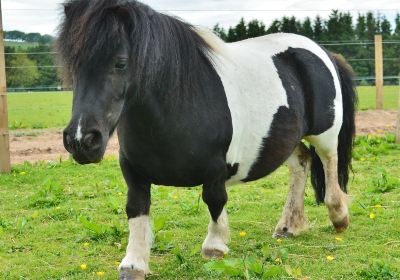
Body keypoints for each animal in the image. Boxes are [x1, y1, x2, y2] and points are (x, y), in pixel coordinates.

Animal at [57, 1, 356, 278]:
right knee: (302, 163)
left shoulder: (216, 168)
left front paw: (215, 246)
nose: (81, 140)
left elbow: (214, 200)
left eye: (120, 63)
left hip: (325, 134)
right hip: (284, 140)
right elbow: (136, 208)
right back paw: (289, 226)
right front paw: (134, 263)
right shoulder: (133, 171)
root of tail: (322, 51)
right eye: (73, 66)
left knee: (329, 162)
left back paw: (338, 216)